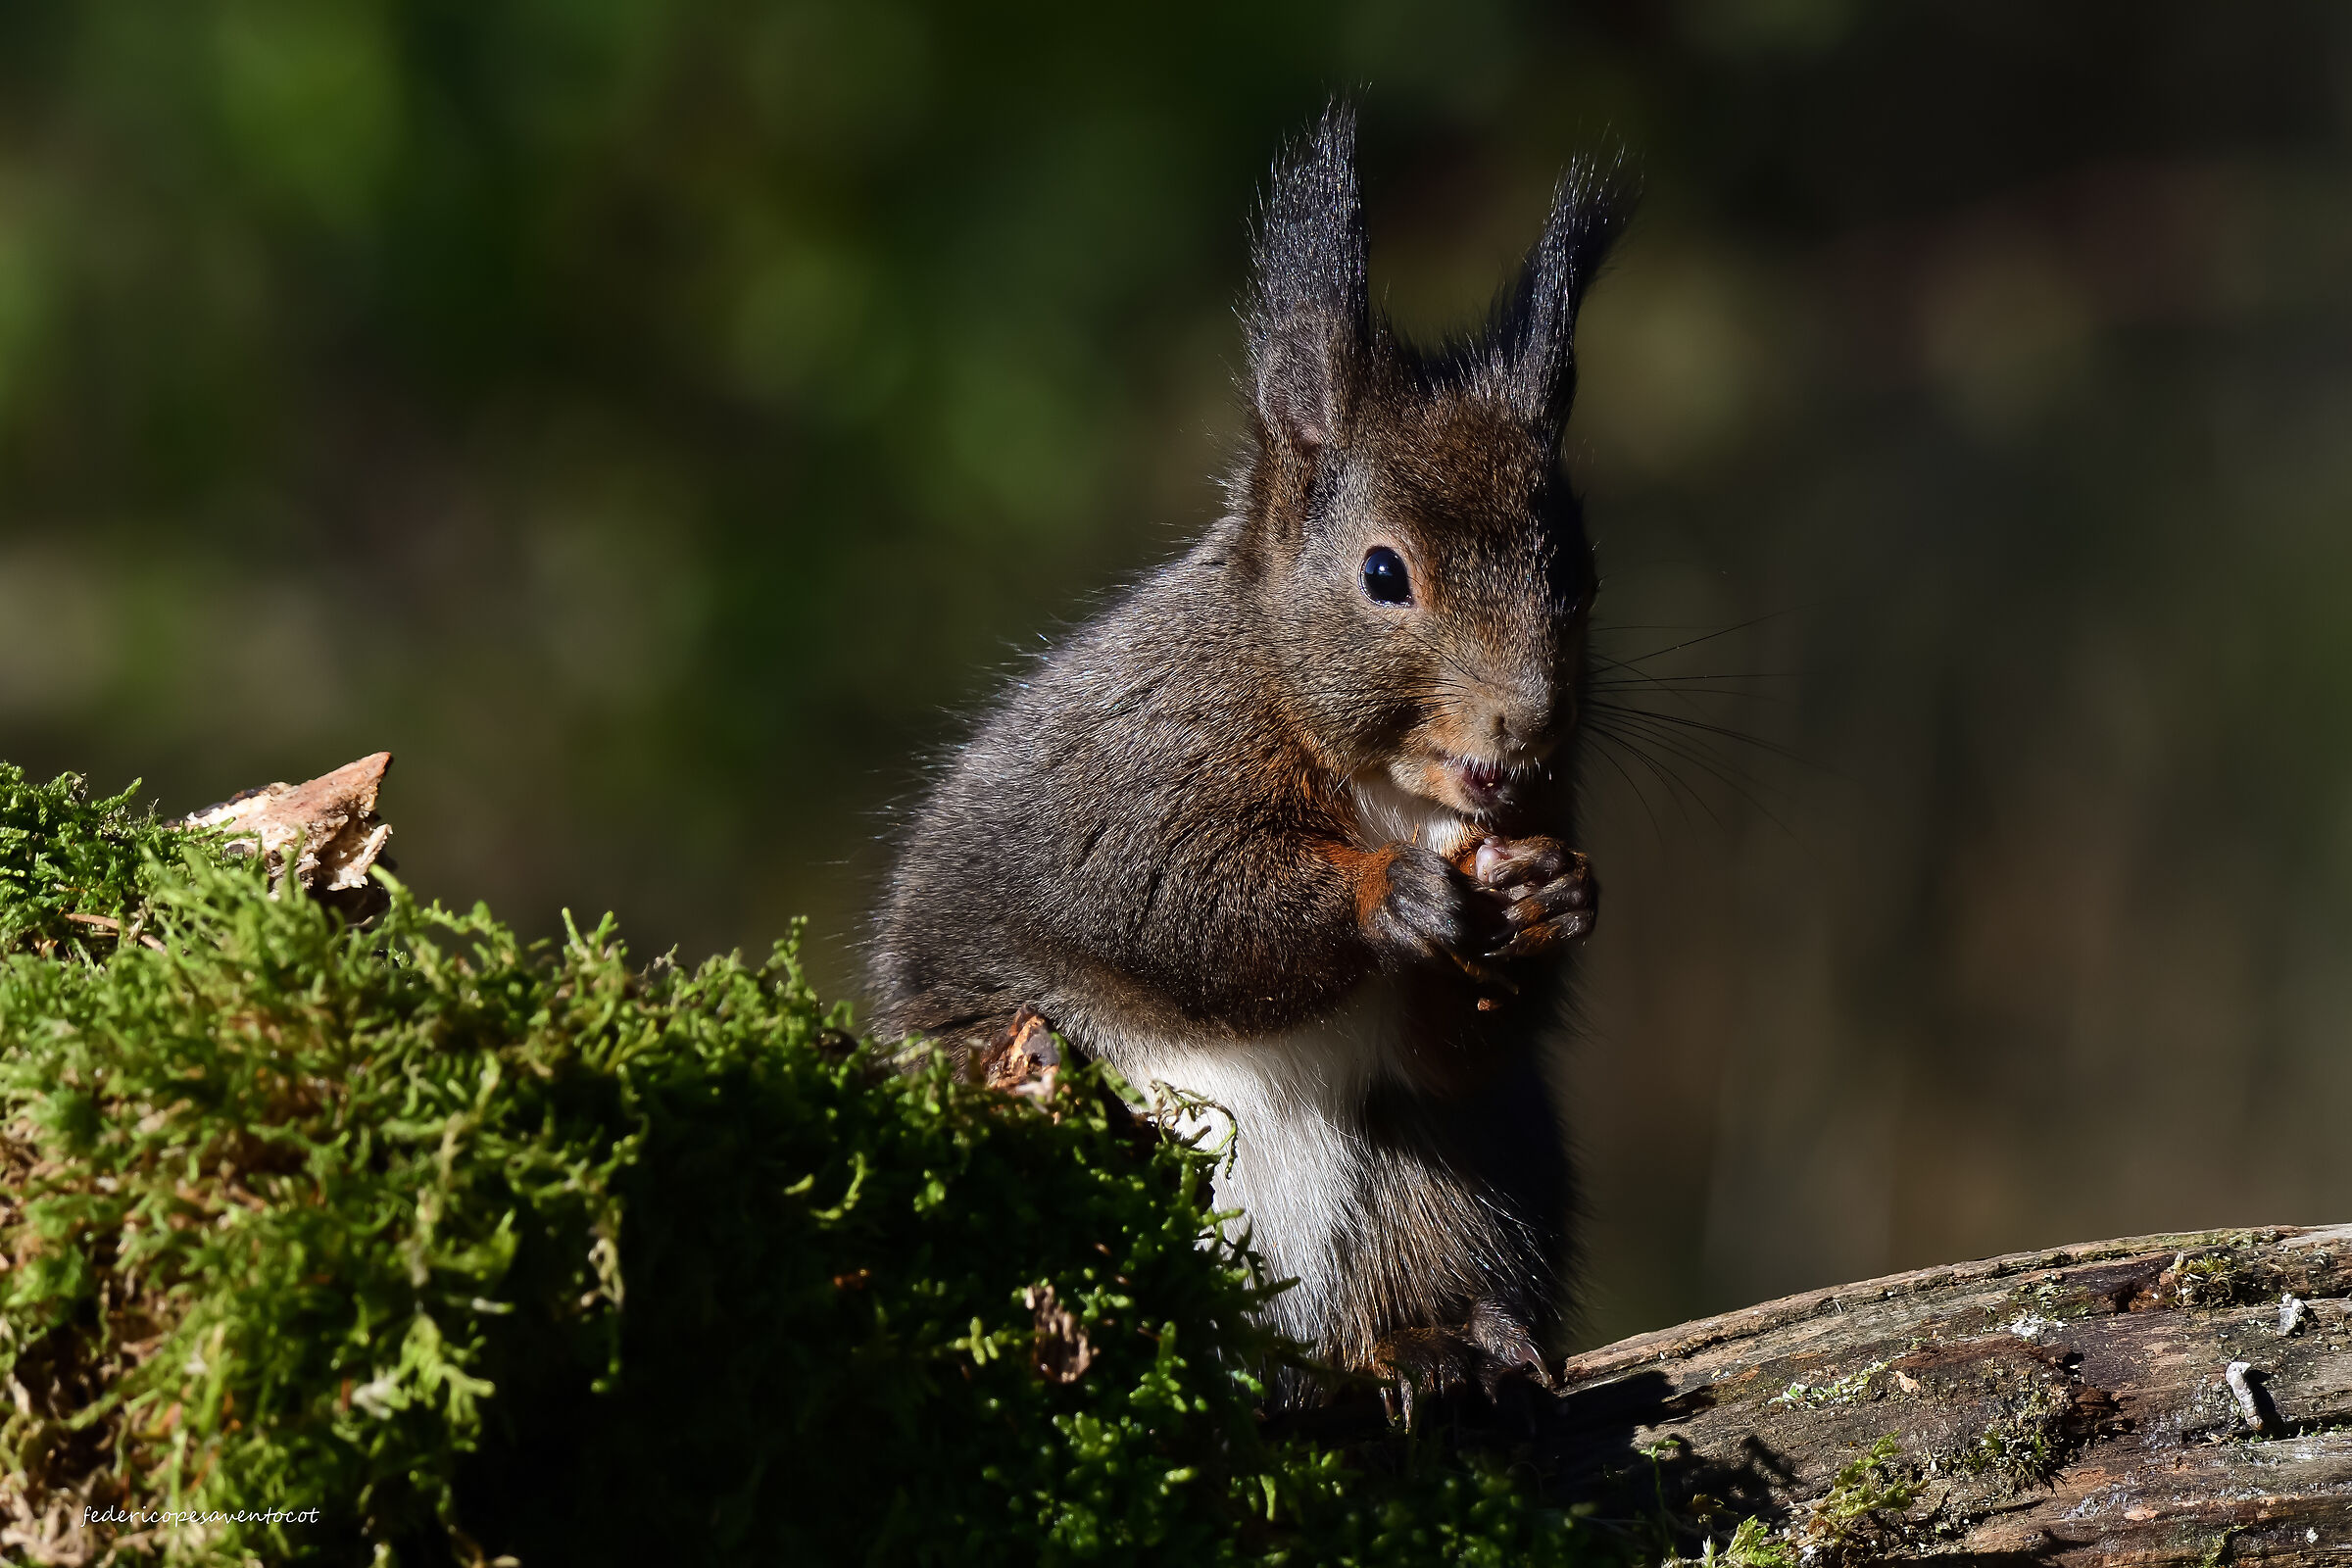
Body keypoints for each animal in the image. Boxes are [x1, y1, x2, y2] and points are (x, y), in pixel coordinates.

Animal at [870, 104, 1626, 1414]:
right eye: (1383, 572)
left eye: (1578, 577)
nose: (1528, 725)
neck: (1385, 788)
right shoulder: (1127, 770)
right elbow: (1169, 901)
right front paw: (1389, 896)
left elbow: (1455, 1048)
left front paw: (1550, 901)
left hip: (1456, 1176)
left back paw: (1443, 1346)